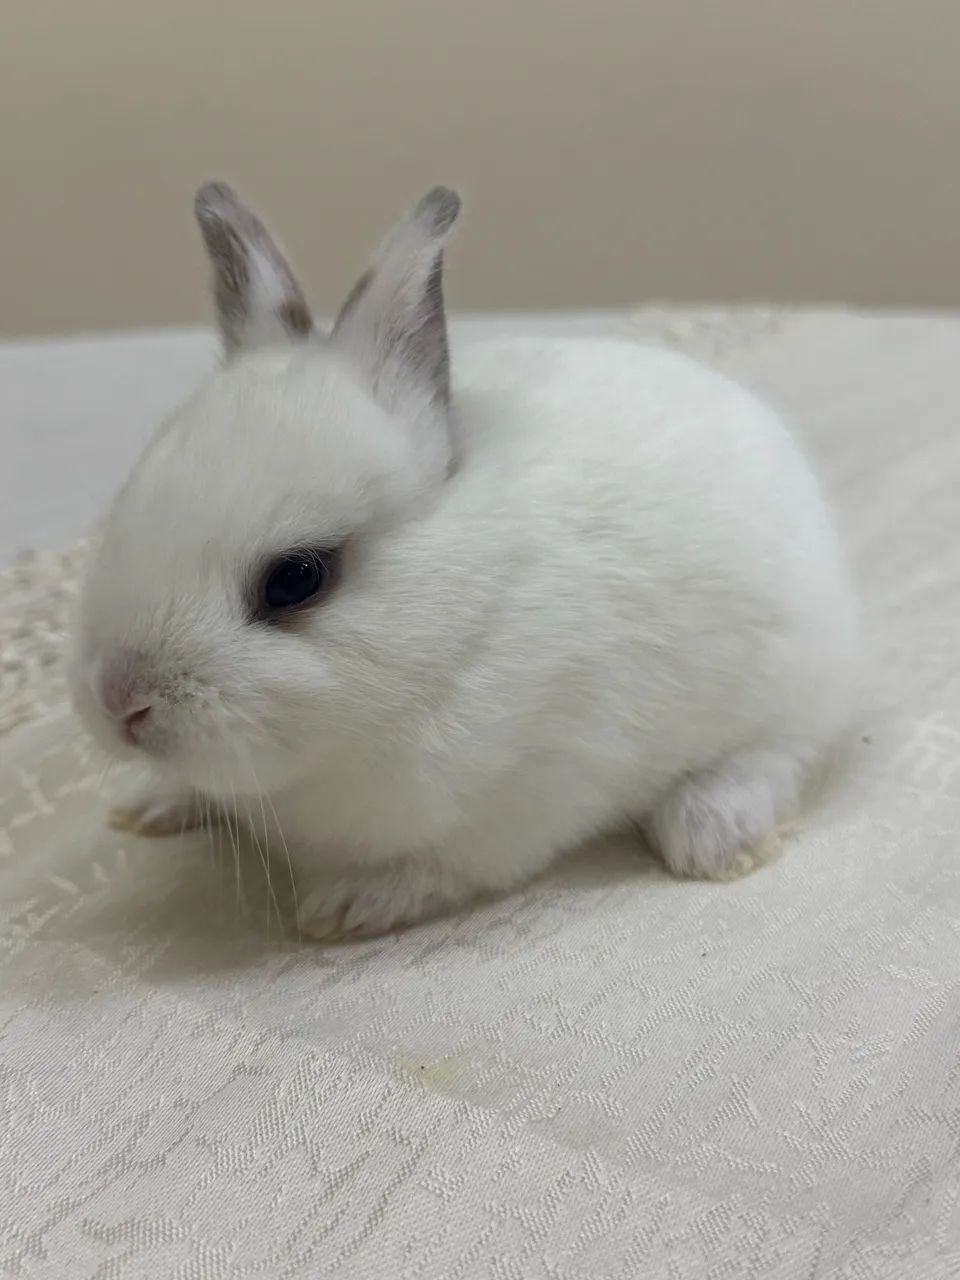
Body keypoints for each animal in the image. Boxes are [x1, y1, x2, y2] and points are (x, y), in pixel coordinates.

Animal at [69, 182, 857, 940]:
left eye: (296, 578)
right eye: (127, 505)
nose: (120, 703)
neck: (455, 625)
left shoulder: (514, 808)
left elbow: (436, 869)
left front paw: (344, 907)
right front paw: (154, 802)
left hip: (791, 679)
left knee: (782, 752)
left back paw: (715, 836)